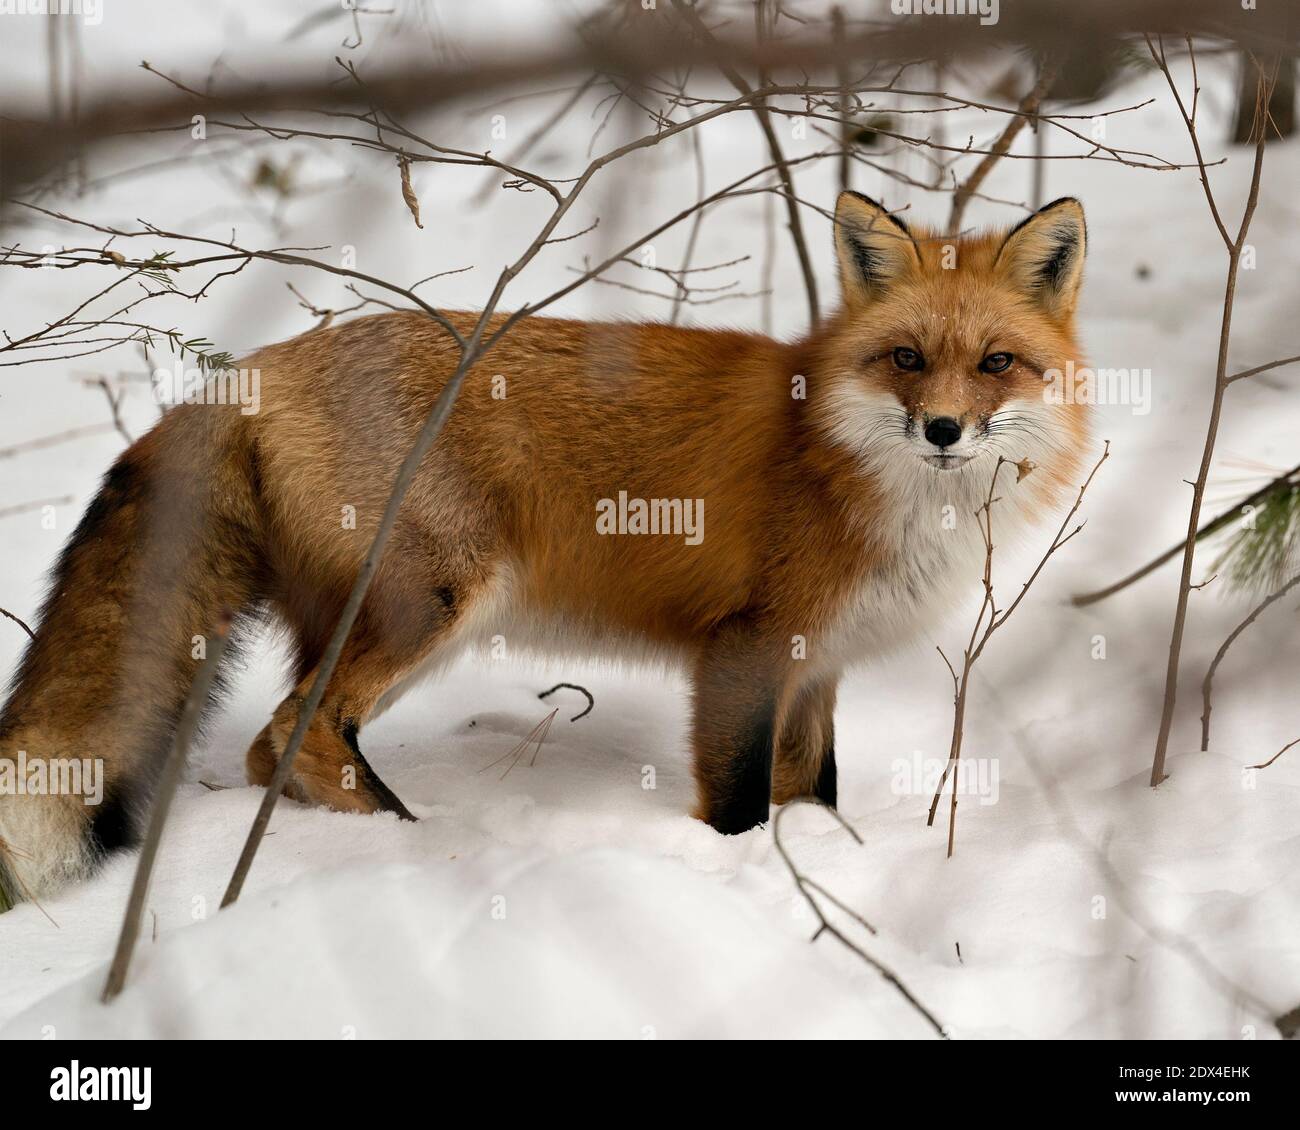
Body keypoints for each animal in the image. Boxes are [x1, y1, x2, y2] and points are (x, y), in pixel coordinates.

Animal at [0, 192, 1090, 906]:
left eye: (996, 363)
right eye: (906, 357)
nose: (942, 429)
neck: (851, 466)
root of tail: (257, 366)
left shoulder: (816, 665)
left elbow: (810, 791)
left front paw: (817, 856)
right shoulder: (743, 652)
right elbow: (739, 804)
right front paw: (744, 879)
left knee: (276, 743)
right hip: (431, 603)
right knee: (297, 730)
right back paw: (408, 846)